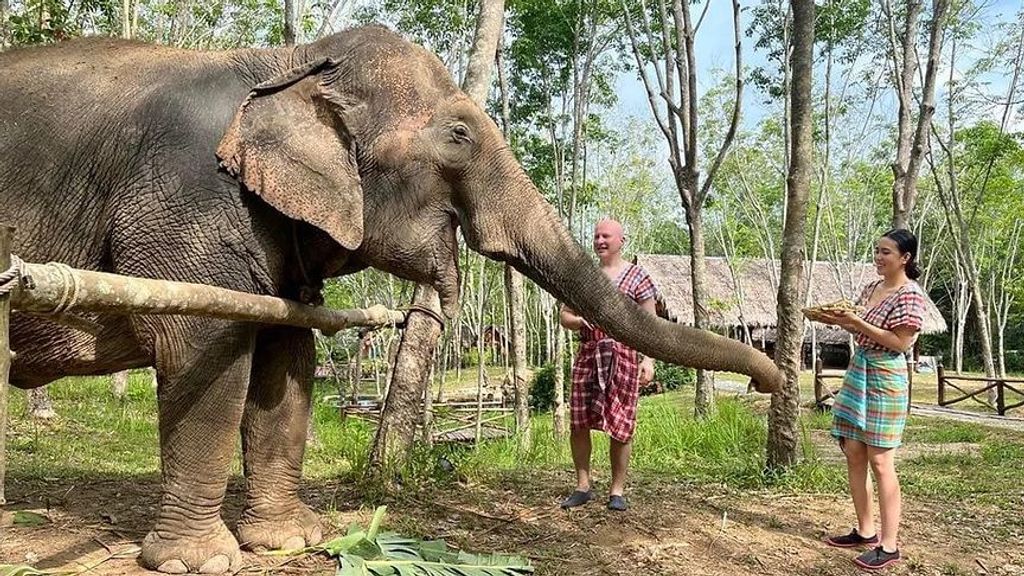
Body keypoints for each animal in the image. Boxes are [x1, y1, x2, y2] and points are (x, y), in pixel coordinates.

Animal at [0, 25, 782, 569]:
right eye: (459, 135)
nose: (775, 377)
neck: (282, 62)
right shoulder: (186, 200)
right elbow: (206, 346)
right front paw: (202, 561)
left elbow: (289, 355)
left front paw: (295, 540)